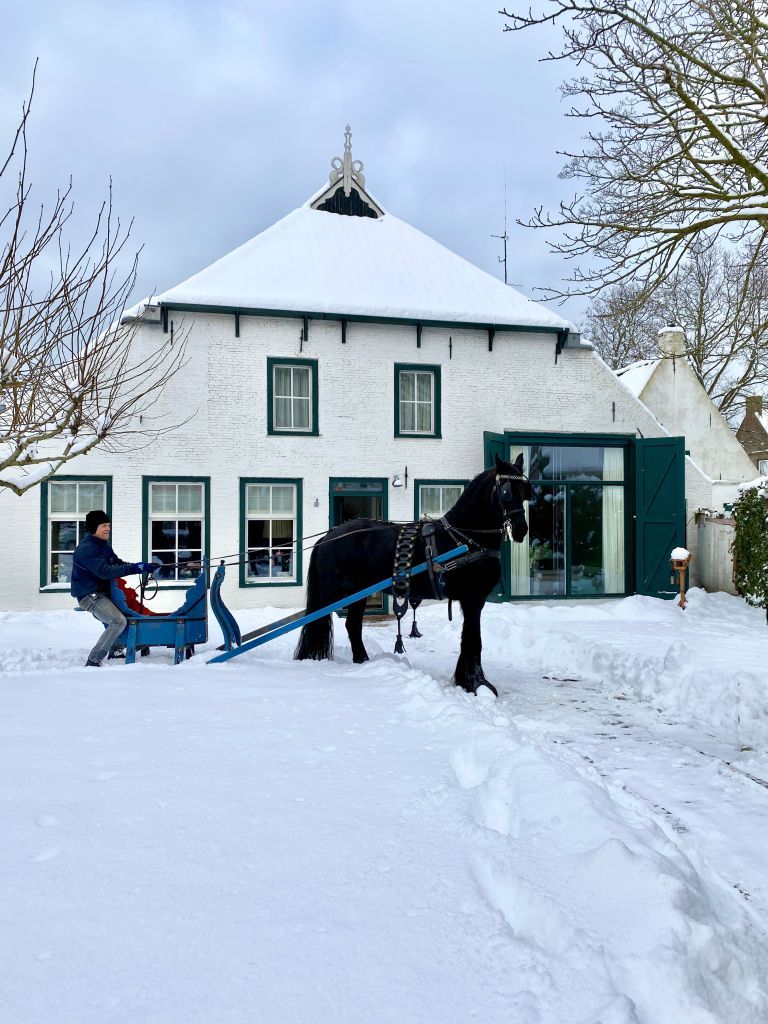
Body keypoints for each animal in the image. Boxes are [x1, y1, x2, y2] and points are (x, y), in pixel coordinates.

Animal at [290, 456, 532, 696]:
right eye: (505, 491)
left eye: (525, 490)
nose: (521, 529)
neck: (464, 538)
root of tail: (330, 534)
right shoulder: (472, 598)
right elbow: (473, 639)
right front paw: (475, 683)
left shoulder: (474, 600)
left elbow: (471, 638)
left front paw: (470, 681)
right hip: (332, 594)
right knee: (317, 622)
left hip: (358, 594)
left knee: (353, 625)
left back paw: (363, 661)